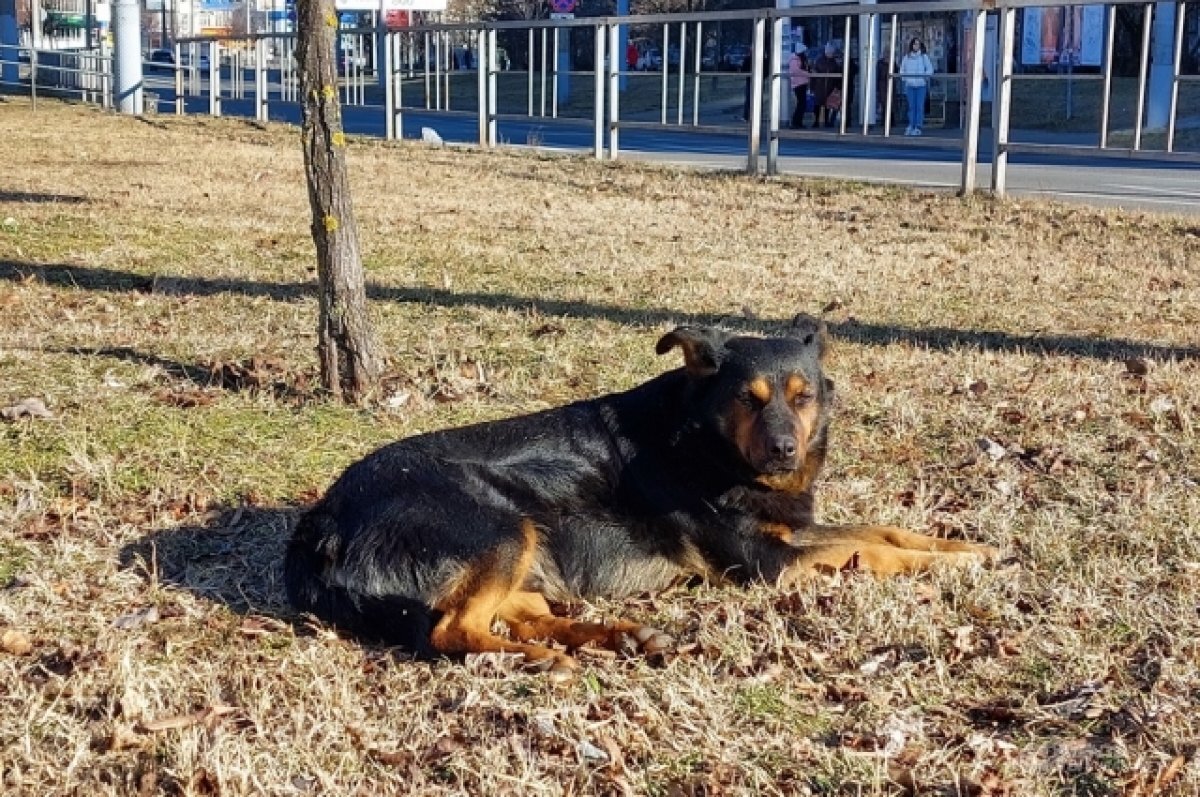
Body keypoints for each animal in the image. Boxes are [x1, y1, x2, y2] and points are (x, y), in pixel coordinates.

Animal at [285, 316, 998, 676]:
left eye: (803, 397)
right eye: (748, 400)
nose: (784, 452)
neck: (704, 441)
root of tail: (321, 520)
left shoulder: (791, 532)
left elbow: (882, 531)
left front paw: (970, 548)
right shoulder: (769, 564)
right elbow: (874, 552)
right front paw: (944, 565)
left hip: (525, 555)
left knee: (515, 613)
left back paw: (620, 635)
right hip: (502, 527)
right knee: (453, 630)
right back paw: (542, 660)